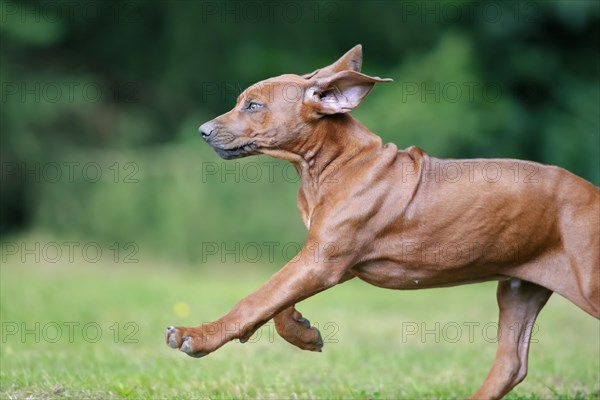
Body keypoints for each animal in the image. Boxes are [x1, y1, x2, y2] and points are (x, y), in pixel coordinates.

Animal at [165, 45, 600, 398]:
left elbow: (258, 297)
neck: (329, 164)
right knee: (511, 365)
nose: (203, 131)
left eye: (253, 106)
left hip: (587, 284)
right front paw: (303, 332)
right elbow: (277, 301)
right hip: (519, 288)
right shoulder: (328, 258)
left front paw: (196, 336)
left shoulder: (323, 260)